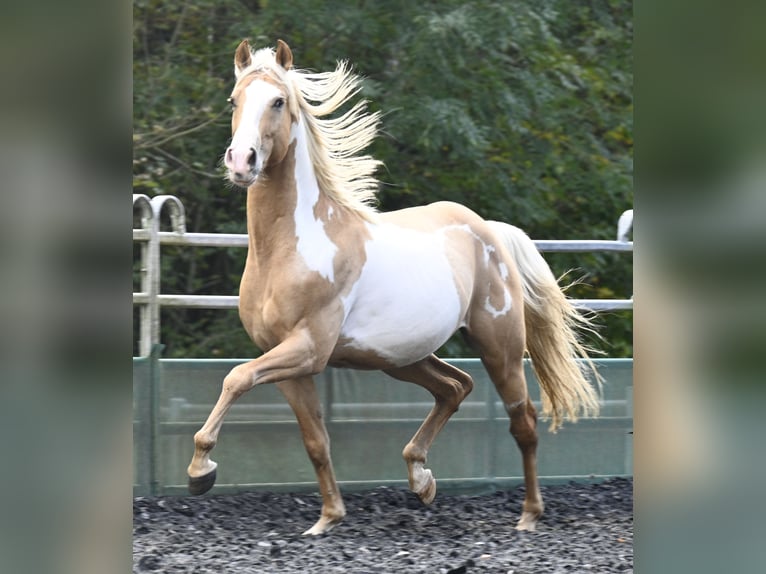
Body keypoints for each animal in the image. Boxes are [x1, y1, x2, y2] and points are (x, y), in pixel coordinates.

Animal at [188, 39, 608, 536]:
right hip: (399, 357)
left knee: (521, 419)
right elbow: (314, 440)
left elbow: (235, 378)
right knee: (455, 387)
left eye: (277, 101)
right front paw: (327, 519)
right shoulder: (288, 362)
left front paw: (200, 471)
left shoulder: (307, 349)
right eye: (234, 101)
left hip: (499, 347)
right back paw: (421, 478)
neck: (292, 248)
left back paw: (528, 515)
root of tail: (489, 230)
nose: (241, 162)